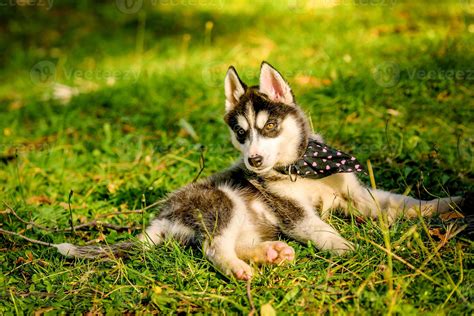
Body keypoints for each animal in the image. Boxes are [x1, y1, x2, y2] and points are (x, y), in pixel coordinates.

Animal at [56, 63, 462, 280]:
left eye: (268, 127)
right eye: (240, 133)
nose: (252, 161)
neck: (303, 168)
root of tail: (158, 221)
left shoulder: (360, 196)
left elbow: (403, 203)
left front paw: (448, 203)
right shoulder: (294, 212)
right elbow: (322, 229)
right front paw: (350, 248)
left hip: (244, 221)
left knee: (233, 242)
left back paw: (270, 254)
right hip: (222, 202)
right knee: (213, 247)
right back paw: (238, 268)